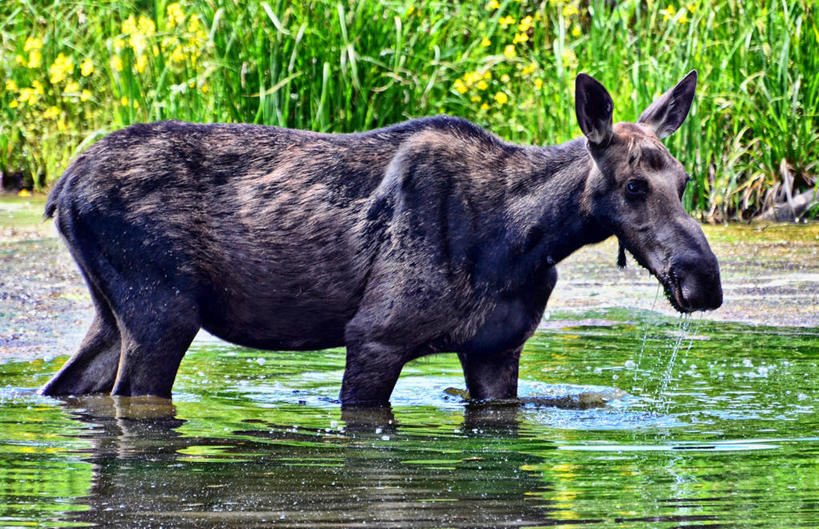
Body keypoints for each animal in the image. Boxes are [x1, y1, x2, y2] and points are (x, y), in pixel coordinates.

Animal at [43, 71, 724, 404]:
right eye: (634, 186)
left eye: (686, 180)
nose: (705, 280)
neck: (525, 241)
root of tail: (61, 186)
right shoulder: (376, 336)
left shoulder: (496, 350)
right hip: (163, 310)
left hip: (112, 313)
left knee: (68, 387)